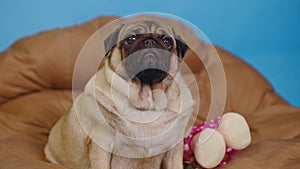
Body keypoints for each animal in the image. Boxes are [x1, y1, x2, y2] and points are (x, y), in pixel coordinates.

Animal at [44, 19, 195, 169]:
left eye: (167, 41)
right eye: (130, 39)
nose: (150, 41)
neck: (146, 99)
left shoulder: (174, 147)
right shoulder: (102, 142)